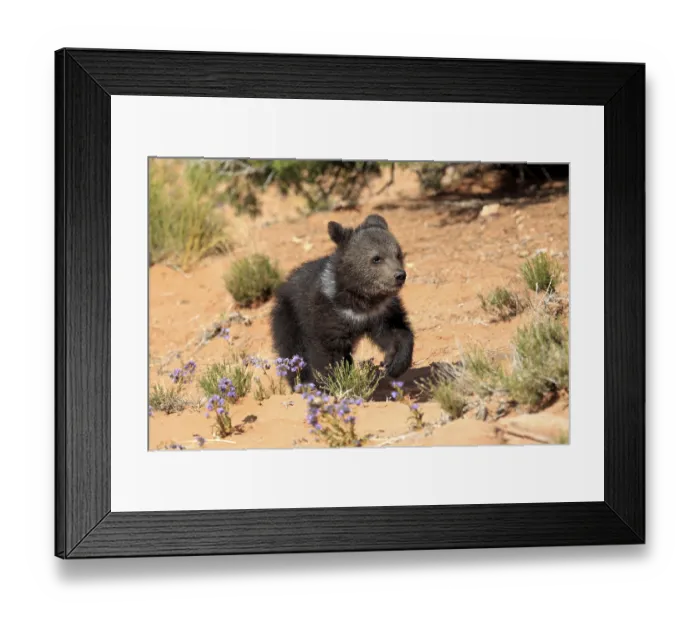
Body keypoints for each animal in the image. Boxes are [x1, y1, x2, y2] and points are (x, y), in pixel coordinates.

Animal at [271, 214, 414, 386]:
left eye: (398, 254)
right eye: (376, 258)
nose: (400, 275)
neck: (360, 300)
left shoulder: (381, 313)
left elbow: (397, 333)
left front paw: (394, 363)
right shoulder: (328, 315)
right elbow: (327, 353)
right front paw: (331, 383)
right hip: (290, 316)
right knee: (293, 350)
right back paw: (301, 382)